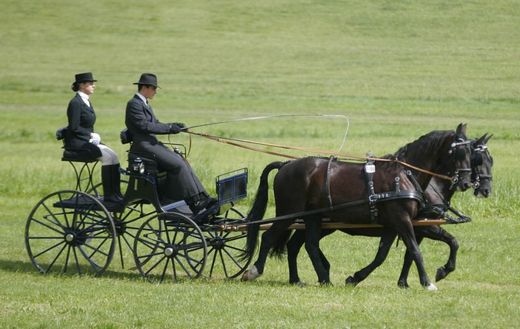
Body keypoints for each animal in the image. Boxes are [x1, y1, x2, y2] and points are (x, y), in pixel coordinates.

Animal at [240, 121, 472, 288]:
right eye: (460, 152)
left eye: (472, 153)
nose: (467, 182)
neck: (405, 175)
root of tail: (286, 164)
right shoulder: (403, 220)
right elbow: (414, 250)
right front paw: (427, 282)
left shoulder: (395, 225)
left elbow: (384, 255)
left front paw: (356, 278)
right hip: (289, 212)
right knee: (269, 237)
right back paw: (254, 271)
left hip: (313, 217)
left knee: (308, 245)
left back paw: (317, 279)